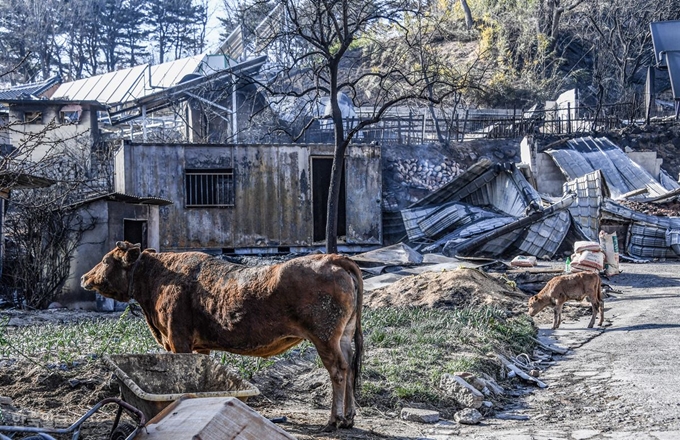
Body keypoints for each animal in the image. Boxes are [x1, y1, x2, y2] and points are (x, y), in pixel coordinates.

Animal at [81, 241, 364, 430]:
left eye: (106, 260)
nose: (84, 277)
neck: (158, 278)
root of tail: (333, 258)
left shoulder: (177, 339)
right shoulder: (200, 345)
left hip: (325, 337)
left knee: (339, 371)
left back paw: (334, 420)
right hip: (344, 336)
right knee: (350, 367)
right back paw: (349, 417)